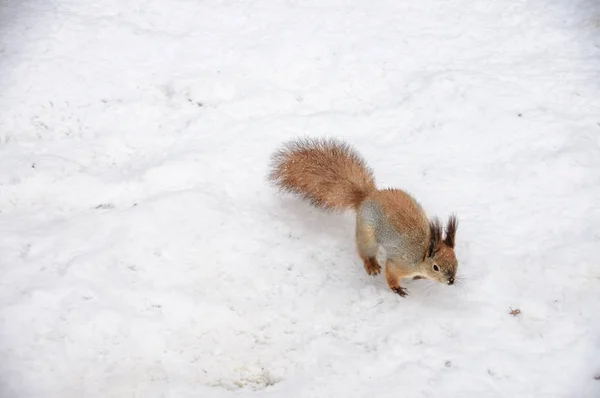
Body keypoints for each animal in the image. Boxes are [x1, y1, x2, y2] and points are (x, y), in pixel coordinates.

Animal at [268, 137, 460, 296]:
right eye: (436, 267)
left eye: (456, 261)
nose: (451, 281)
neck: (422, 254)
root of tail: (367, 196)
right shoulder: (400, 263)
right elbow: (390, 274)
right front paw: (396, 288)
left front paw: (418, 278)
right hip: (367, 234)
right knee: (365, 251)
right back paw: (371, 265)